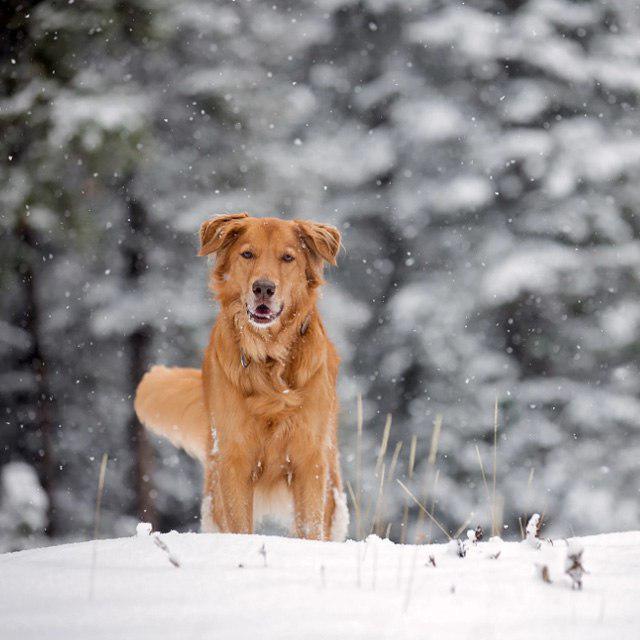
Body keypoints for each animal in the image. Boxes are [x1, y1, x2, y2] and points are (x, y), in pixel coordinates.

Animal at [132, 214, 348, 540]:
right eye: (247, 254)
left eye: (288, 258)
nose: (263, 288)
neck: (268, 355)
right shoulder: (233, 458)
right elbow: (239, 524)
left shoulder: (309, 457)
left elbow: (310, 525)